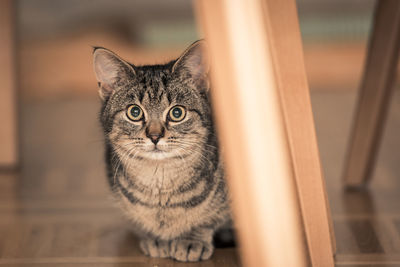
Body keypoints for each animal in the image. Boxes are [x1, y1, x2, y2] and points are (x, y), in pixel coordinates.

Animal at [93, 40, 231, 262]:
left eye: (177, 112)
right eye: (134, 112)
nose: (155, 136)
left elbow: (208, 218)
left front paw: (192, 239)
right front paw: (157, 237)